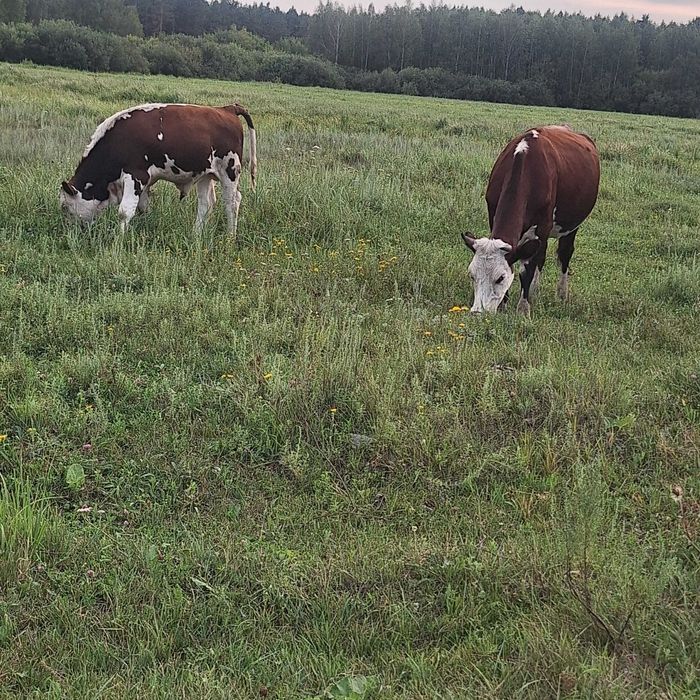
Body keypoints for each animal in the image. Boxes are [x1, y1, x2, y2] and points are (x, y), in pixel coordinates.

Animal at [60, 102, 257, 236]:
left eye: (64, 207)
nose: (69, 232)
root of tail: (227, 109)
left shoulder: (135, 175)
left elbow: (124, 211)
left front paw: (119, 240)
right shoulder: (145, 182)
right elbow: (142, 208)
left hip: (230, 171)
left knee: (232, 202)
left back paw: (230, 237)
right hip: (205, 175)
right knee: (205, 204)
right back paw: (196, 234)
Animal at [461, 125, 600, 316]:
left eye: (500, 278)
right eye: (472, 275)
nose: (477, 312)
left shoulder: (542, 226)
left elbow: (527, 269)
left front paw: (523, 309)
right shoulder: (492, 215)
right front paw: (504, 304)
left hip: (572, 225)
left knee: (564, 253)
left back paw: (561, 294)